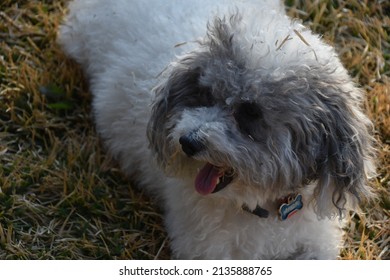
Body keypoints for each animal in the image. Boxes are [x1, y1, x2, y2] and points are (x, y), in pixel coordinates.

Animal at [58, 0, 374, 260]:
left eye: (250, 113)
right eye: (206, 95)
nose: (187, 142)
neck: (262, 208)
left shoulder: (316, 242)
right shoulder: (208, 250)